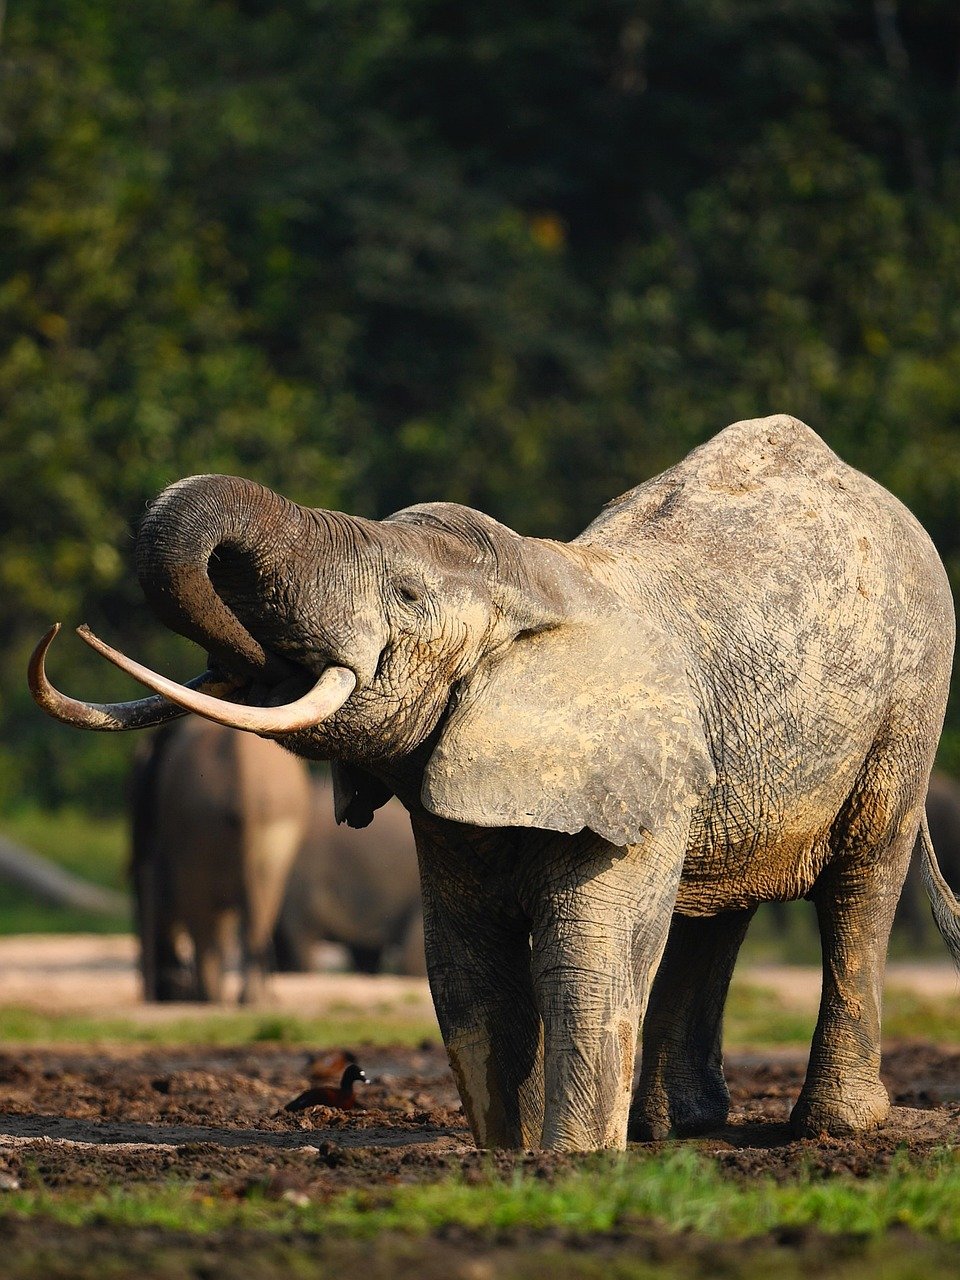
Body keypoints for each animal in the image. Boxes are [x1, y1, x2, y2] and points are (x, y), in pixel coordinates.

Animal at [130, 718, 311, 1003]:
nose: (159, 995)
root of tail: (245, 782)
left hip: (198, 826)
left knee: (200, 910)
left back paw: (209, 997)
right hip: (271, 834)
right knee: (260, 907)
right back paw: (251, 1000)